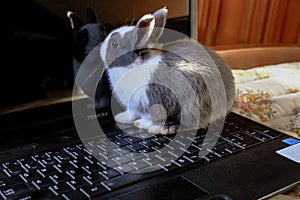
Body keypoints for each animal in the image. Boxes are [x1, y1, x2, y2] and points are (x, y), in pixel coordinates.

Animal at [99, 7, 236, 134]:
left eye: (114, 44)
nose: (100, 48)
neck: (136, 64)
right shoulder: (133, 105)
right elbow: (131, 113)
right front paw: (120, 118)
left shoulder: (152, 101)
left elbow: (150, 117)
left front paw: (141, 124)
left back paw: (162, 128)